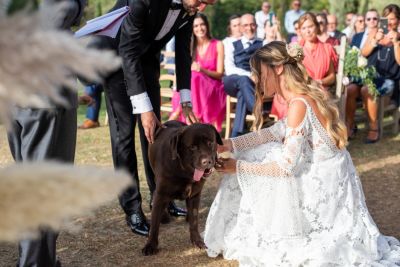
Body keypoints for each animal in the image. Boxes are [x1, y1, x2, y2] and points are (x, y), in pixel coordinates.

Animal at [141, 121, 223, 255]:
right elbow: (154, 224)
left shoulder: (195, 194)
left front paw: (197, 241)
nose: (207, 162)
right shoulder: (161, 193)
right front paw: (150, 245)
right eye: (192, 147)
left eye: (210, 143)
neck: (184, 171)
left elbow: (194, 221)